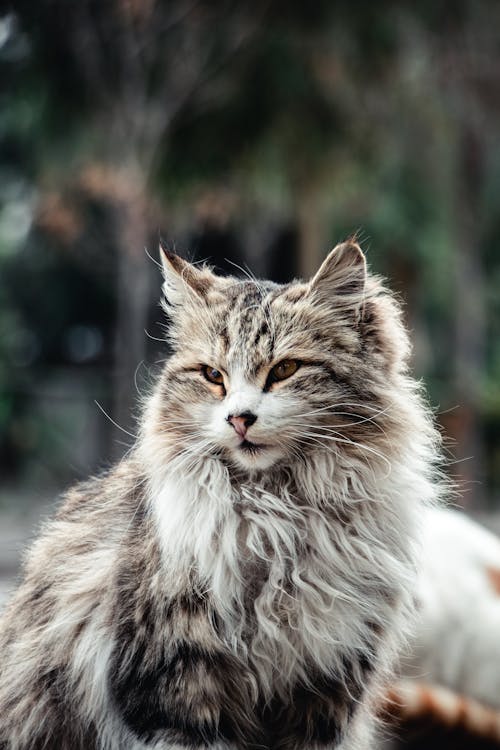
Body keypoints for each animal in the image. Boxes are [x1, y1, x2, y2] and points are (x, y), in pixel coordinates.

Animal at [0, 242, 442, 750]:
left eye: (284, 369)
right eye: (213, 375)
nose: (239, 418)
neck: (278, 520)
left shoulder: (325, 693)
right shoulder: (173, 688)